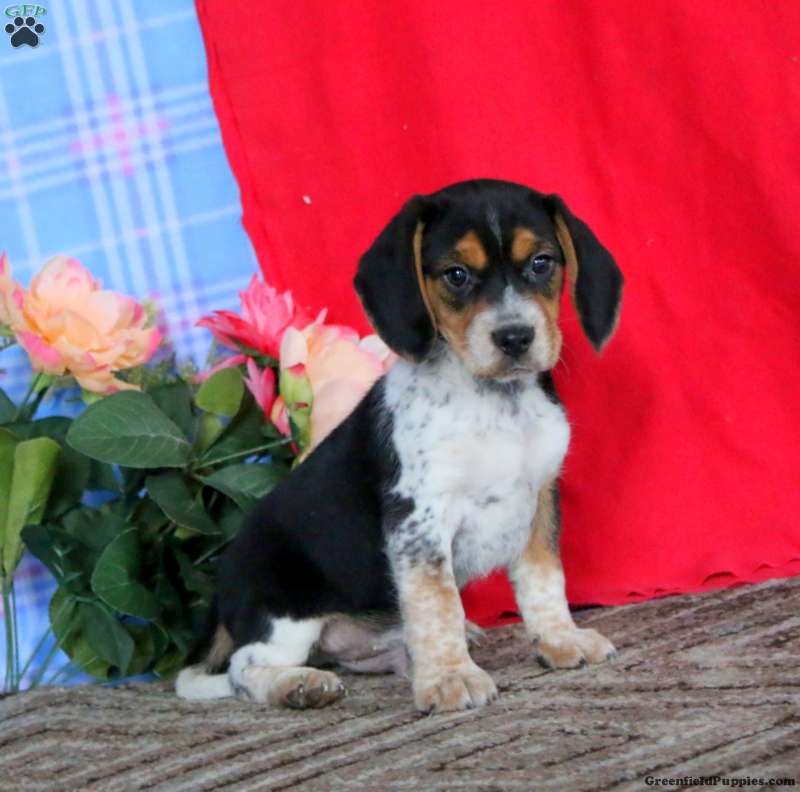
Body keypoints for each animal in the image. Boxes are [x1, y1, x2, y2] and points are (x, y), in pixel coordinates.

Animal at [176, 178, 623, 713]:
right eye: (456, 275)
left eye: (541, 263)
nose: (515, 337)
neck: (494, 403)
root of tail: (222, 594)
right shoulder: (420, 520)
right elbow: (437, 604)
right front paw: (450, 678)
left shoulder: (538, 500)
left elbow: (544, 583)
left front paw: (560, 640)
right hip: (285, 614)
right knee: (244, 670)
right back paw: (298, 685)